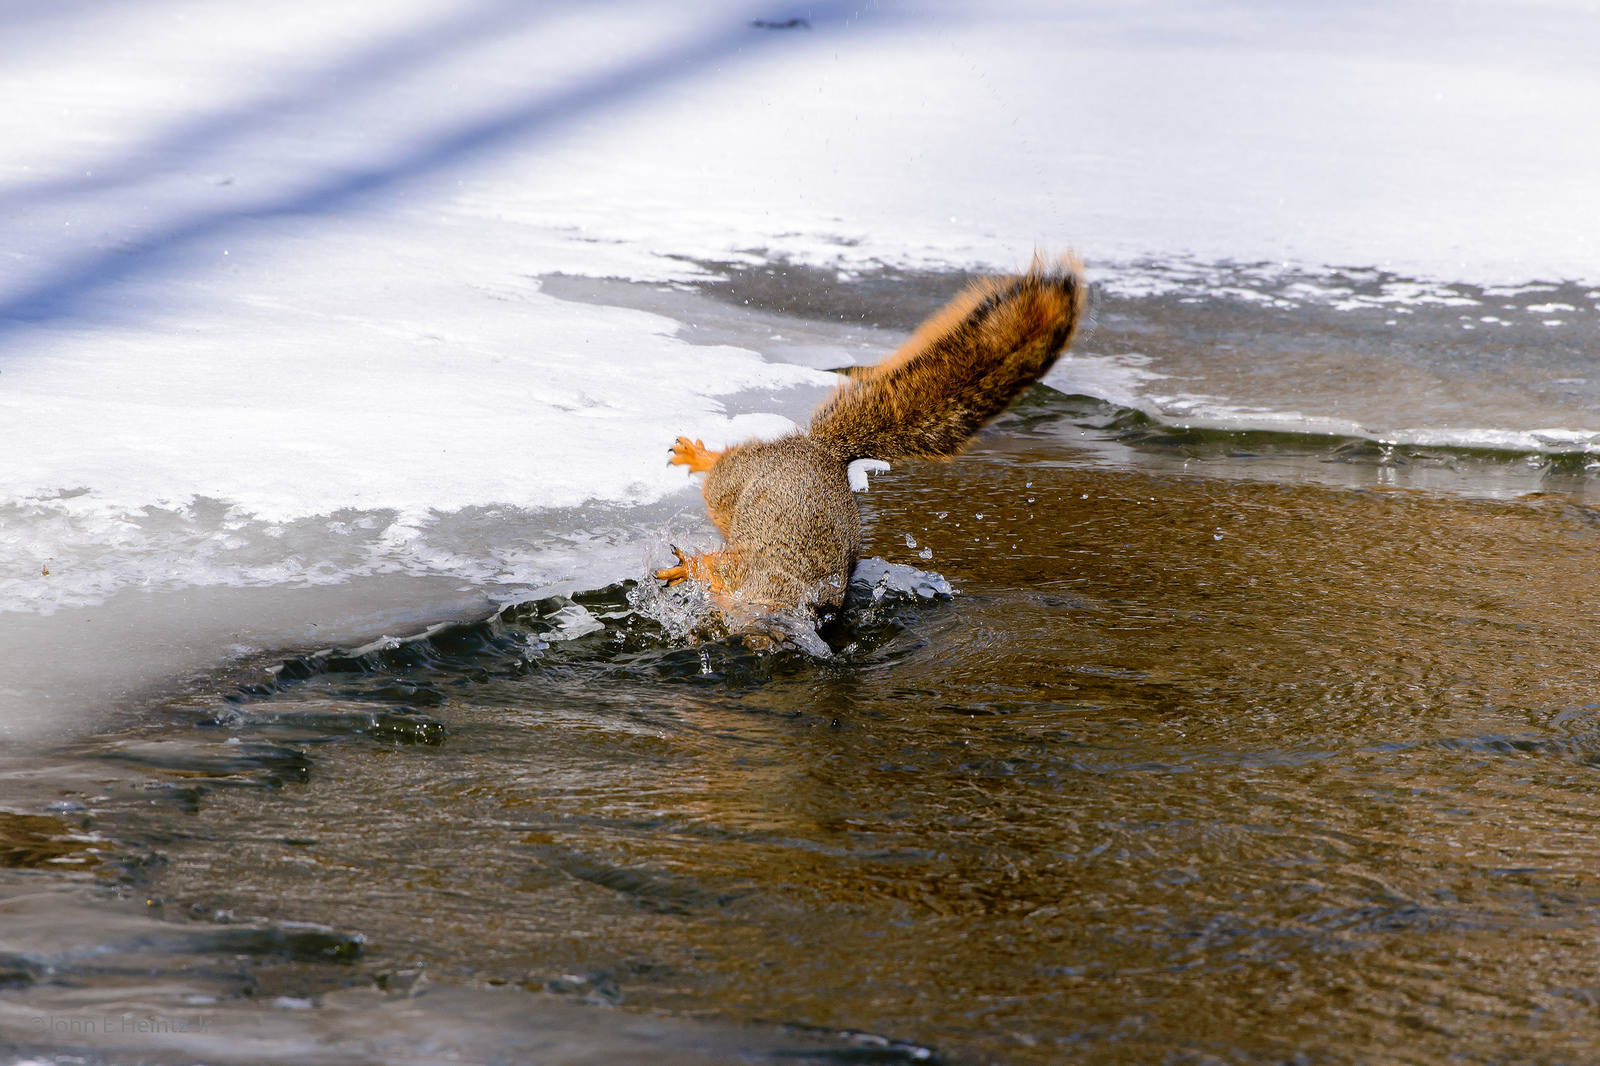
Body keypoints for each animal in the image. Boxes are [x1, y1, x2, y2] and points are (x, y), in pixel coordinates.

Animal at [657, 255, 1087, 616]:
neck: (784, 579)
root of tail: (824, 452)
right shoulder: (742, 563)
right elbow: (716, 568)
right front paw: (689, 569)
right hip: (734, 482)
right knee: (722, 472)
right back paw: (698, 456)